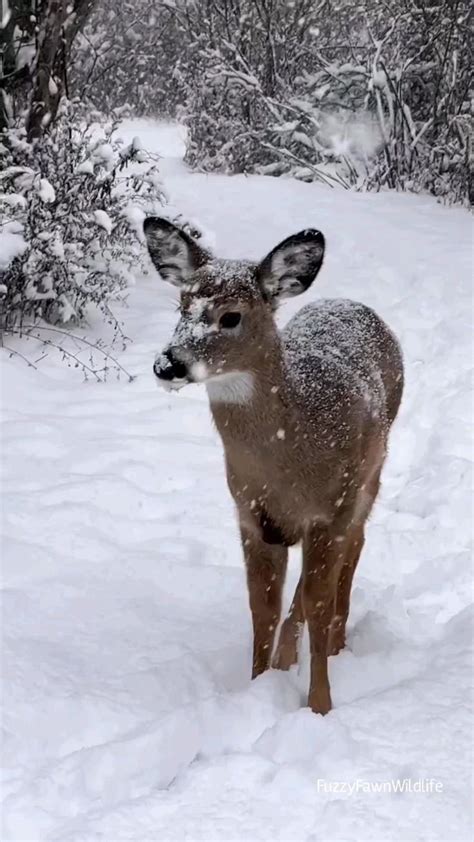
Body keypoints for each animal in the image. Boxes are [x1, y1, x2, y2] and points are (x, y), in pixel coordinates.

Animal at [144, 218, 404, 716]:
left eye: (231, 316)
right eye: (182, 305)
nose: (167, 364)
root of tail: (352, 303)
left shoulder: (332, 510)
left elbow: (318, 603)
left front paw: (320, 706)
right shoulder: (252, 516)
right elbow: (262, 608)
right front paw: (259, 687)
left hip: (370, 478)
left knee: (353, 553)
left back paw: (339, 645)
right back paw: (288, 656)